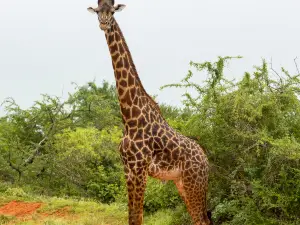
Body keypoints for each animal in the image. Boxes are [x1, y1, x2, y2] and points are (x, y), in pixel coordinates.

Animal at [87, 0, 211, 224]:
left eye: (112, 12)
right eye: (98, 11)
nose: (103, 22)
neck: (129, 118)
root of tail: (207, 162)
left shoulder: (140, 169)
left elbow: (138, 217)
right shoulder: (128, 169)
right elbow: (132, 217)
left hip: (194, 183)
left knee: (202, 220)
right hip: (182, 183)